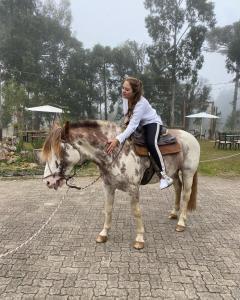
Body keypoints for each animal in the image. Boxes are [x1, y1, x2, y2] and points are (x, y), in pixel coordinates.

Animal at [41, 119, 201, 248]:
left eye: (60, 150)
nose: (48, 181)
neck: (116, 152)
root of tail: (191, 137)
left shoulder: (133, 188)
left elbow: (136, 212)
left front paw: (139, 239)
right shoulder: (108, 186)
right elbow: (108, 209)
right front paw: (103, 234)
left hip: (187, 172)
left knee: (186, 195)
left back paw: (181, 223)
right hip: (174, 173)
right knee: (178, 189)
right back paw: (174, 214)